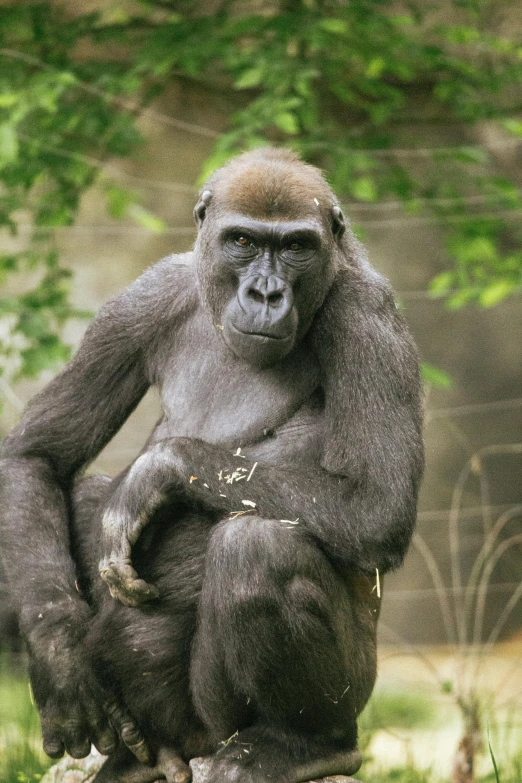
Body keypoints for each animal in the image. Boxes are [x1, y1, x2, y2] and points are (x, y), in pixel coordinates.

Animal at [0, 149, 422, 783]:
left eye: (296, 247)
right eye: (242, 241)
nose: (267, 293)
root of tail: (186, 748)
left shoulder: (367, 314)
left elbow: (377, 506)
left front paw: (158, 470)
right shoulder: (145, 297)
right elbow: (37, 456)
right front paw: (60, 658)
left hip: (282, 711)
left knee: (255, 550)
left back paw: (306, 744)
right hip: (173, 733)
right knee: (79, 496)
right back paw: (130, 754)